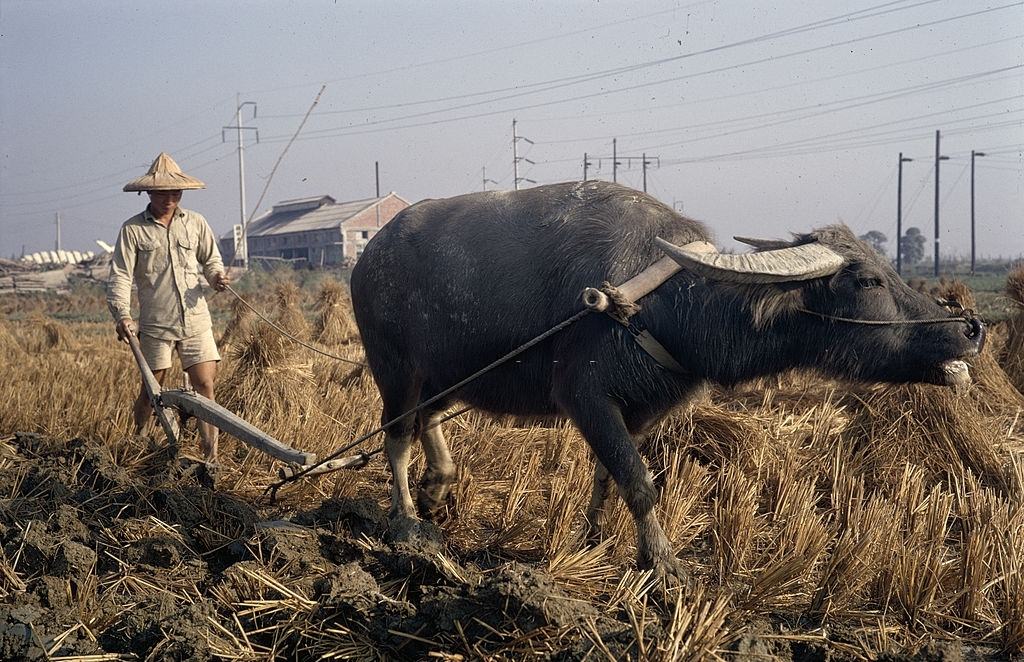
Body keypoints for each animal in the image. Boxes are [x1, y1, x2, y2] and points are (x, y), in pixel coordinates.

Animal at [352, 179, 983, 577]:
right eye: (869, 281)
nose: (970, 328)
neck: (664, 304)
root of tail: (367, 258)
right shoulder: (584, 396)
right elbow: (639, 480)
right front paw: (662, 563)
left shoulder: (639, 410)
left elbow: (609, 474)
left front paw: (593, 540)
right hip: (394, 370)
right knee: (397, 435)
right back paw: (407, 521)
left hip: (445, 376)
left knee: (429, 422)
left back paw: (439, 485)